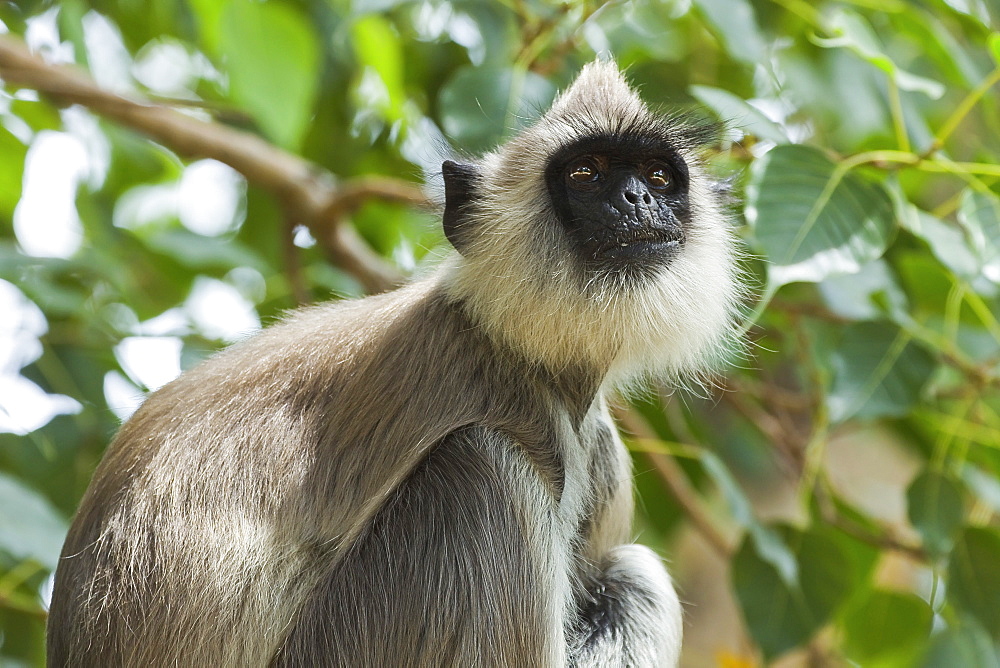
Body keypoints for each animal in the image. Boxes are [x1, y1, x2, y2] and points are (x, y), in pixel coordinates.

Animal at [47, 60, 744, 664]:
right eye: (585, 174)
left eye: (658, 177)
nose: (635, 199)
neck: (520, 353)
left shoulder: (599, 449)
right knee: (487, 467)